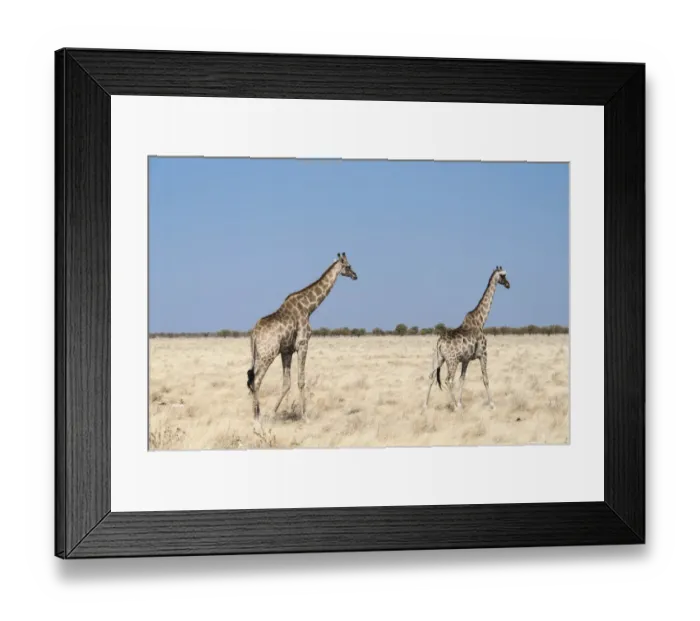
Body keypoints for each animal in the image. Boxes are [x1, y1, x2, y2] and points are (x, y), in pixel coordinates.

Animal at [246, 252, 358, 422]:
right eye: (348, 265)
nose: (355, 275)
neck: (309, 308)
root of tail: (254, 333)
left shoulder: (287, 351)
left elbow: (286, 383)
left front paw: (273, 413)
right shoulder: (303, 344)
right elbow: (301, 381)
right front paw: (305, 416)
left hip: (258, 355)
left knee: (252, 380)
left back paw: (257, 413)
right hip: (268, 354)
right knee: (257, 380)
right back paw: (256, 417)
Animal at [422, 266, 510, 412]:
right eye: (503, 275)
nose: (508, 284)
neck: (480, 321)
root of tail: (439, 344)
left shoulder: (466, 359)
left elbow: (462, 379)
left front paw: (460, 403)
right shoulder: (483, 353)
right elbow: (485, 378)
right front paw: (492, 404)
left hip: (438, 358)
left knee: (431, 377)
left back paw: (425, 405)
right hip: (452, 361)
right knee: (448, 380)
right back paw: (455, 408)